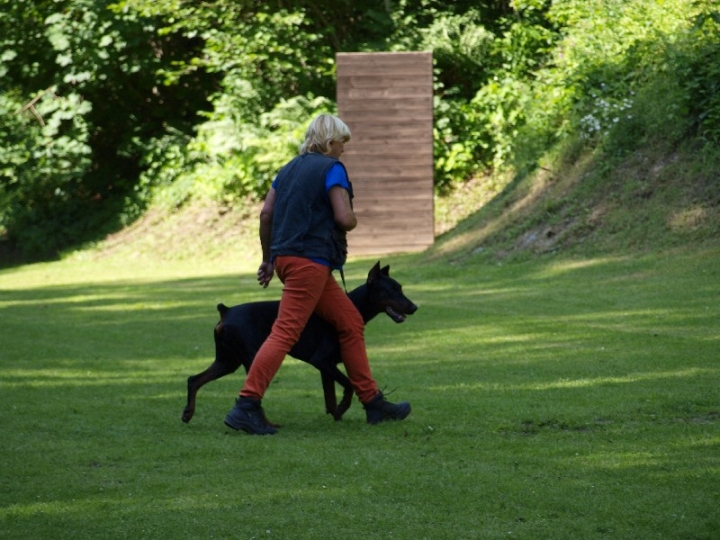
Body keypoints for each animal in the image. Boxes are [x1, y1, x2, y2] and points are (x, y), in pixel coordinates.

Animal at [181, 262, 416, 422]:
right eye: (391, 290)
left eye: (401, 288)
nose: (414, 307)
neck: (353, 306)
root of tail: (225, 311)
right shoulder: (322, 360)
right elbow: (349, 385)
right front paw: (342, 408)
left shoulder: (326, 367)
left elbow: (330, 397)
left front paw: (336, 415)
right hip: (250, 357)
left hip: (228, 361)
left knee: (194, 380)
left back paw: (187, 413)